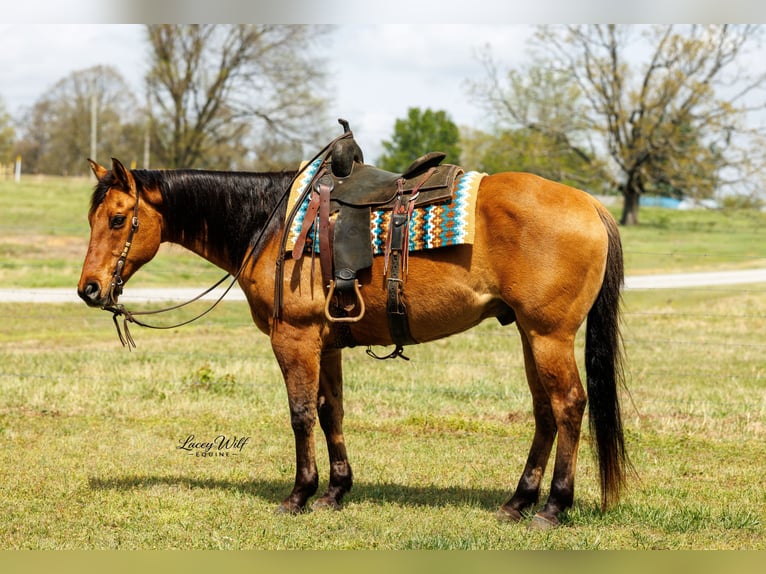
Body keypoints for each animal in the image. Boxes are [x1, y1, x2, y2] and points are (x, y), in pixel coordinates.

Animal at [77, 156, 629, 529]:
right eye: (93, 219)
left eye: (118, 219)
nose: (89, 289)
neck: (271, 224)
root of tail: (590, 203)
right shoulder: (326, 345)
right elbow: (330, 412)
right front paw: (336, 490)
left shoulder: (294, 338)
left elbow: (300, 414)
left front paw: (300, 494)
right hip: (529, 335)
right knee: (544, 412)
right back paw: (518, 501)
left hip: (548, 335)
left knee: (568, 405)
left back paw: (554, 506)